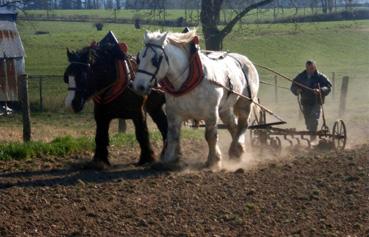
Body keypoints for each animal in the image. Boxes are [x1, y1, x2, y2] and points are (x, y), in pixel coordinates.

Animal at [63, 41, 167, 170]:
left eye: (82, 77)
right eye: (67, 77)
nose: (70, 104)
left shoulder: (138, 113)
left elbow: (142, 134)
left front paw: (147, 159)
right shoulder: (101, 115)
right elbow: (100, 136)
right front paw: (99, 160)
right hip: (155, 107)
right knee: (164, 125)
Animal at [129, 30, 258, 168]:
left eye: (155, 59)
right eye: (139, 57)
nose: (137, 86)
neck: (187, 81)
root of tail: (243, 59)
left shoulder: (211, 114)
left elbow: (210, 136)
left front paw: (213, 161)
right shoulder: (173, 114)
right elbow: (173, 136)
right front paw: (169, 159)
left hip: (244, 103)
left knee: (243, 124)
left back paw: (237, 147)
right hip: (225, 108)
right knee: (232, 125)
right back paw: (237, 150)